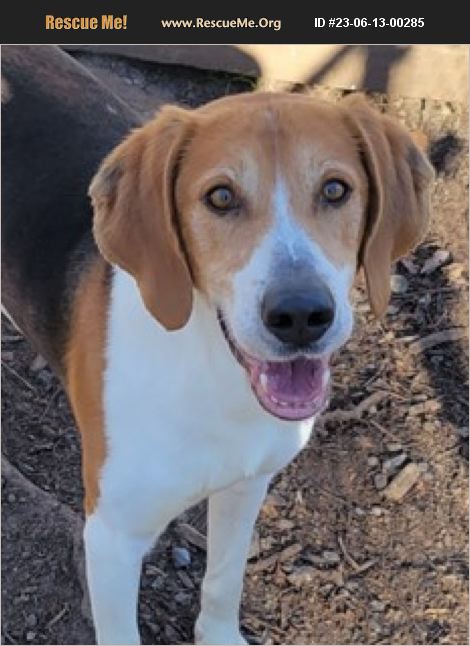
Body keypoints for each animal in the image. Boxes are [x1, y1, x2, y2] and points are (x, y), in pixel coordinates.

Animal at [1, 46, 434, 646]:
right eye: (221, 197)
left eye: (335, 190)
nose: (300, 316)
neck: (213, 375)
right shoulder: (111, 540)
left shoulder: (248, 483)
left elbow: (224, 580)